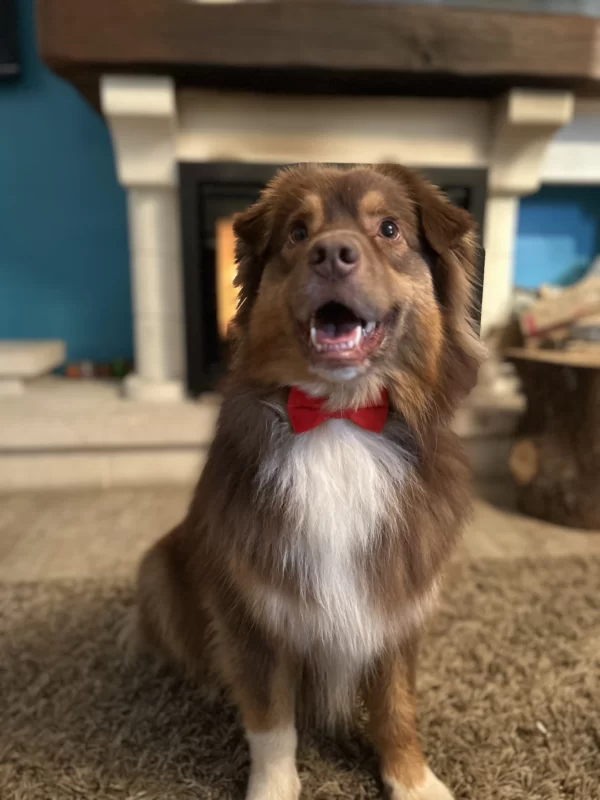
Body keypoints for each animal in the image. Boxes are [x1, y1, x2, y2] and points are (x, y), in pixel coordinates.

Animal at [135, 164, 482, 800]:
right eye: (298, 233)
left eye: (389, 228)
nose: (332, 254)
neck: (339, 418)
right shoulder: (251, 613)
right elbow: (272, 722)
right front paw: (275, 788)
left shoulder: (395, 602)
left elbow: (397, 710)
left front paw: (412, 780)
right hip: (158, 568)